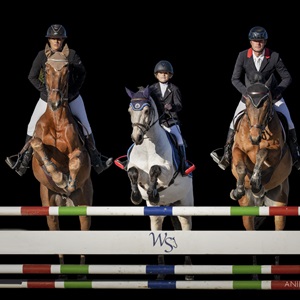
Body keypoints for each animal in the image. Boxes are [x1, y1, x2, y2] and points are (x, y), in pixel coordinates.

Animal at [29, 44, 92, 270]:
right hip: (50, 210)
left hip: (84, 206)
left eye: (66, 70)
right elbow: (38, 146)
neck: (56, 119)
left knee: (84, 232)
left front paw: (68, 181)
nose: (55, 102)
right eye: (46, 69)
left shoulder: (79, 151)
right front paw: (57, 176)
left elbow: (75, 160)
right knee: (56, 236)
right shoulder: (37, 152)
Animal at [119, 85, 195, 282]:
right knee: (157, 228)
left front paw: (153, 192)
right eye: (129, 111)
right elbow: (133, 172)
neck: (147, 147)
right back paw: (160, 273)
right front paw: (136, 196)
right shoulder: (135, 169)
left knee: (185, 226)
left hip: (185, 204)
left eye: (146, 111)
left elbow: (154, 169)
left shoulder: (167, 172)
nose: (136, 138)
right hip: (157, 212)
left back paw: (188, 271)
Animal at [231, 77, 292, 278]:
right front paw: (239, 189)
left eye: (266, 104)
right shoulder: (237, 150)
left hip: (279, 206)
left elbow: (263, 153)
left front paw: (257, 180)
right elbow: (241, 166)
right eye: (248, 103)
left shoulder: (276, 152)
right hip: (247, 211)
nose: (255, 137)